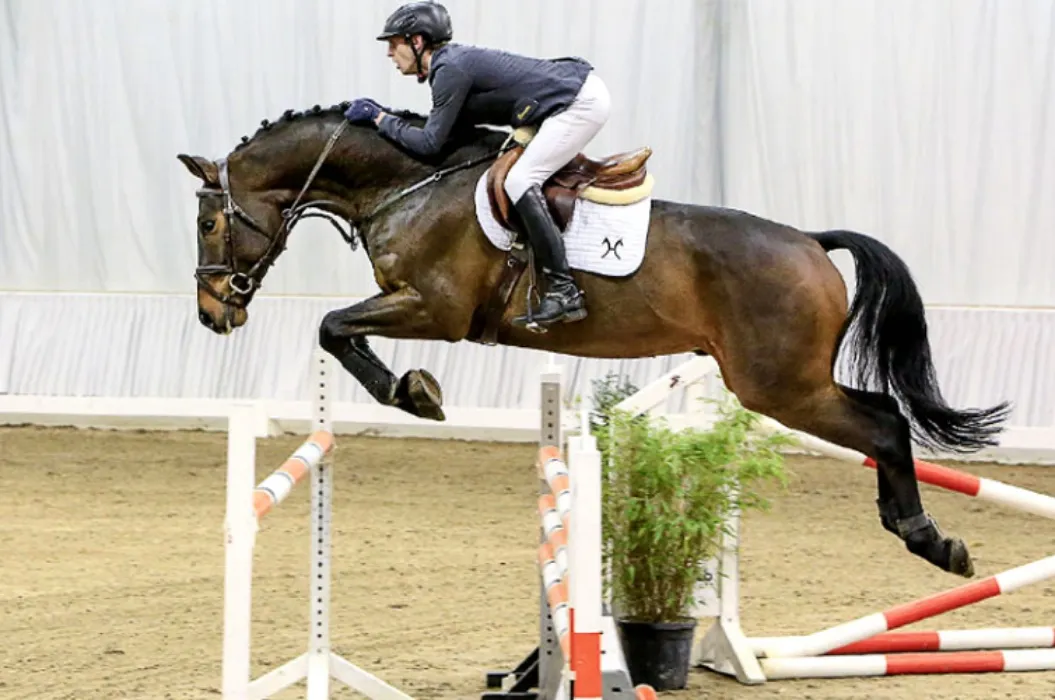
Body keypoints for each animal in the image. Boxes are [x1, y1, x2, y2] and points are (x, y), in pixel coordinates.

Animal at [177, 102, 1010, 579]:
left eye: (210, 221)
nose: (213, 314)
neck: (406, 185)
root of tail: (809, 241)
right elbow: (336, 329)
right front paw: (414, 391)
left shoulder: (434, 309)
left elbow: (332, 327)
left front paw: (414, 394)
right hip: (786, 381)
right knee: (882, 418)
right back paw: (914, 529)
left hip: (781, 385)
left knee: (885, 423)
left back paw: (929, 540)